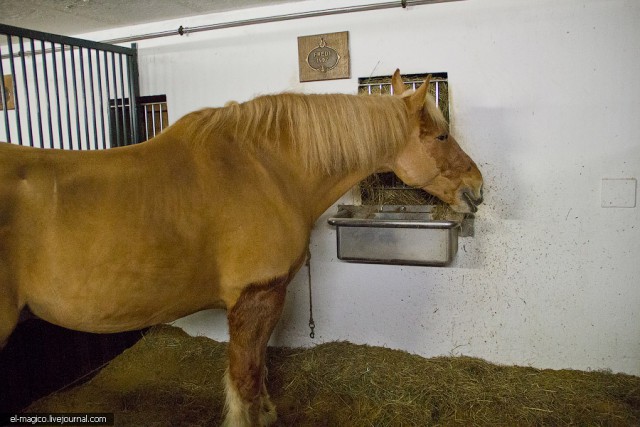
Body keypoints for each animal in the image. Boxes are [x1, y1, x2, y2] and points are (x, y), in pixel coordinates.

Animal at [0, 68, 480, 426]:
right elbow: (245, 378)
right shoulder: (256, 297)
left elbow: (259, 368)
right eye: (441, 137)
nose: (478, 188)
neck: (266, 170)